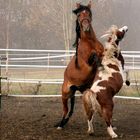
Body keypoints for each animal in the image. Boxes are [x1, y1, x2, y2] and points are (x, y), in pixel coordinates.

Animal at [55, 1, 104, 129]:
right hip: (65, 93)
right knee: (65, 110)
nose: (86, 26)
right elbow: (94, 57)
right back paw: (60, 124)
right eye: (78, 15)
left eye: (89, 13)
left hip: (74, 92)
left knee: (70, 111)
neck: (90, 42)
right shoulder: (87, 63)